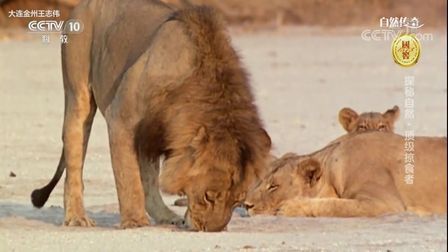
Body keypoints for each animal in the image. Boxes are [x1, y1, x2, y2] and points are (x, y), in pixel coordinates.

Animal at [31, 0, 272, 231]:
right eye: (208, 196)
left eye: (237, 201)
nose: (213, 230)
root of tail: (81, 5)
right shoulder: (121, 119)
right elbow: (129, 178)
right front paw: (135, 222)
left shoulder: (154, 133)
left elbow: (146, 180)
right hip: (78, 92)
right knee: (74, 159)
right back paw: (77, 217)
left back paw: (167, 217)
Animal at [247, 132, 446, 217]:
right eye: (259, 182)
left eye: (273, 186)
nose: (246, 205)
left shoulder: (386, 203)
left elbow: (336, 205)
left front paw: (290, 207)